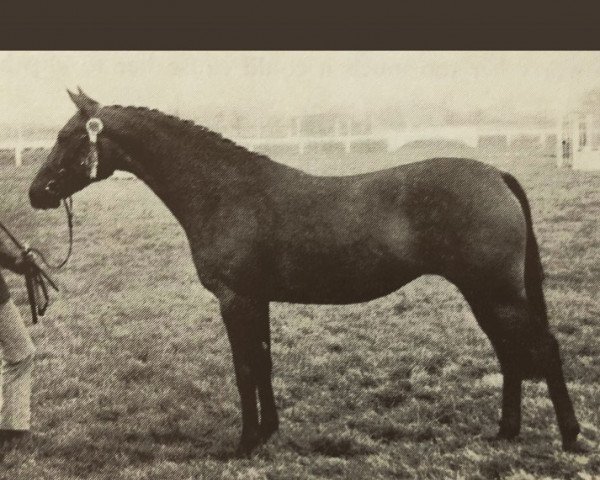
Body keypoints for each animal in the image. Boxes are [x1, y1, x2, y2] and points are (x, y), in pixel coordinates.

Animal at [28, 90, 580, 454]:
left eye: (67, 136)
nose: (36, 193)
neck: (224, 192)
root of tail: (496, 174)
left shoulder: (236, 300)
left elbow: (245, 368)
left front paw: (246, 442)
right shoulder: (257, 301)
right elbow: (264, 363)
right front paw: (269, 431)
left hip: (497, 292)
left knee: (543, 349)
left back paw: (570, 439)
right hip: (484, 294)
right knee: (510, 353)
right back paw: (506, 431)